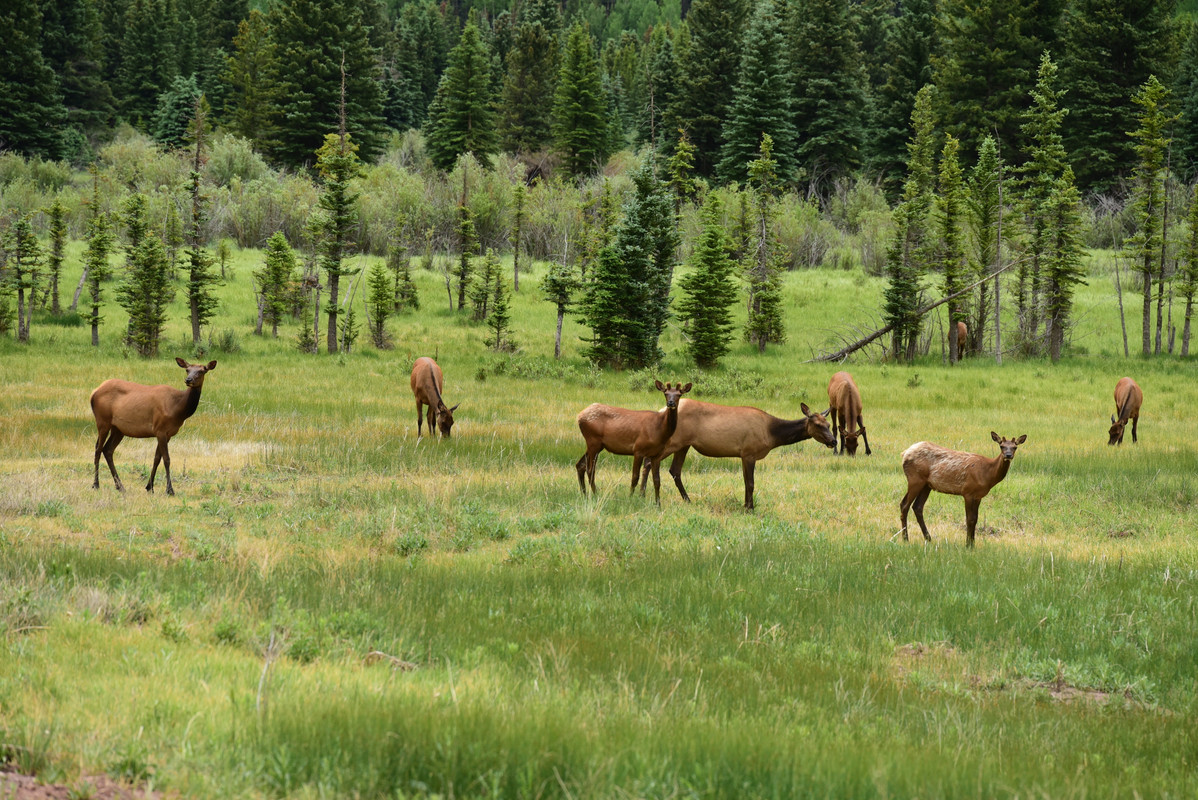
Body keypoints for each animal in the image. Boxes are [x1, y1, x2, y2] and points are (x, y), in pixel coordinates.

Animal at [91, 356, 220, 493]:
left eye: (202, 371)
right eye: (187, 370)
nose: (188, 380)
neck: (178, 408)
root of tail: (94, 392)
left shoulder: (167, 433)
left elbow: (157, 458)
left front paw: (149, 487)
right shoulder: (160, 429)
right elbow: (167, 459)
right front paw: (169, 490)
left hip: (118, 429)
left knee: (107, 449)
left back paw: (120, 486)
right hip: (102, 420)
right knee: (98, 449)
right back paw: (96, 484)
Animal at [646, 402, 843, 510]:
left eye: (828, 424)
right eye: (818, 425)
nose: (834, 441)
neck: (771, 434)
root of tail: (662, 410)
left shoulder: (743, 455)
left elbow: (745, 481)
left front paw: (745, 504)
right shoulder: (750, 452)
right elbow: (751, 483)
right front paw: (750, 508)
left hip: (684, 445)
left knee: (674, 470)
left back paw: (684, 500)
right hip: (673, 441)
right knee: (650, 461)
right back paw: (648, 497)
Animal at [900, 431, 1030, 550]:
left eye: (1015, 447)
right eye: (1001, 446)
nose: (1008, 455)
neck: (987, 474)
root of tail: (905, 453)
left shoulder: (978, 496)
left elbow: (975, 519)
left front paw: (972, 543)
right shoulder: (968, 492)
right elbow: (970, 519)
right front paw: (968, 545)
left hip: (927, 485)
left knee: (917, 507)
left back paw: (928, 538)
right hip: (915, 479)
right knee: (904, 504)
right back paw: (905, 539)